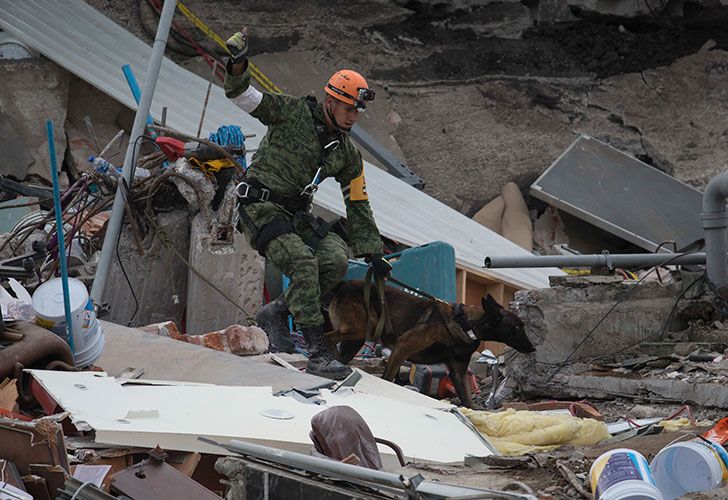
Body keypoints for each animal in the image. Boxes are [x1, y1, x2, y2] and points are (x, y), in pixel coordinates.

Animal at [324, 280, 536, 408]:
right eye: (518, 327)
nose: (533, 348)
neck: (466, 323)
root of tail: (343, 284)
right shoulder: (403, 346)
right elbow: (387, 378)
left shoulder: (458, 374)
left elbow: (467, 401)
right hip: (358, 331)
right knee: (327, 336)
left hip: (356, 340)